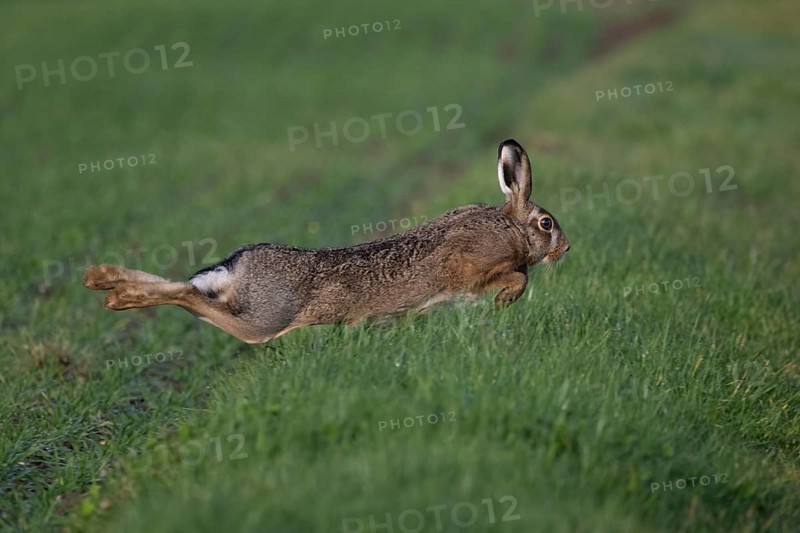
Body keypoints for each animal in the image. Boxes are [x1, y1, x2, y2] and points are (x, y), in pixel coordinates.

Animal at [83, 139, 570, 344]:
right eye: (546, 224)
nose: (565, 248)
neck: (508, 227)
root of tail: (234, 268)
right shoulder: (476, 270)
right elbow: (516, 279)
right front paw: (502, 305)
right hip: (265, 321)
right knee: (191, 298)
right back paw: (116, 296)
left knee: (185, 289)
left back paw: (101, 280)